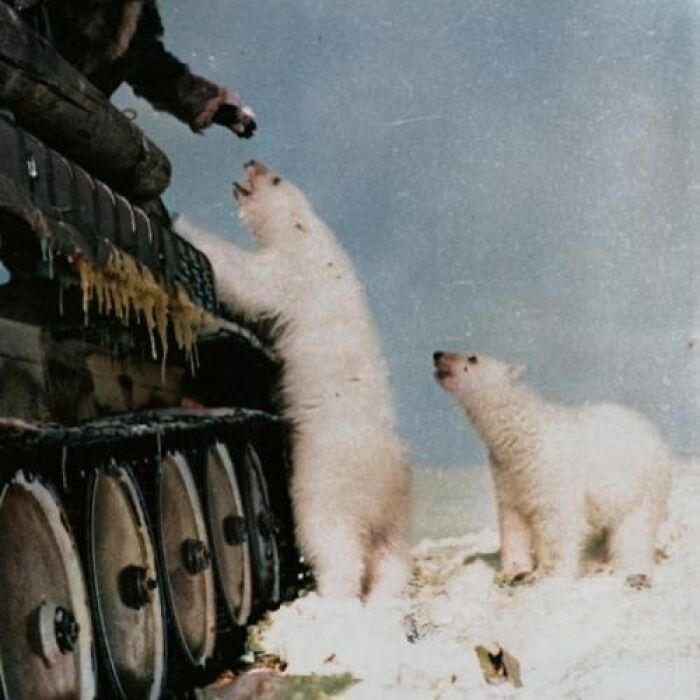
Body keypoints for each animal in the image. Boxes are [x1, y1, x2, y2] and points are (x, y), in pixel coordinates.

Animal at [174, 161, 411, 601]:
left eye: (275, 179)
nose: (251, 161)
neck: (312, 235)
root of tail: (384, 487)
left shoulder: (292, 272)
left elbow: (250, 280)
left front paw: (185, 222)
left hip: (329, 483)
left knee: (333, 544)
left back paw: (331, 598)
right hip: (400, 512)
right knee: (392, 555)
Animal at [433, 351, 672, 585]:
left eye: (472, 358)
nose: (437, 354)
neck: (523, 438)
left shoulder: (550, 473)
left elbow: (558, 523)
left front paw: (549, 574)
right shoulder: (507, 475)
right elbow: (512, 523)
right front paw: (513, 572)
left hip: (643, 483)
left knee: (633, 529)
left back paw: (622, 567)